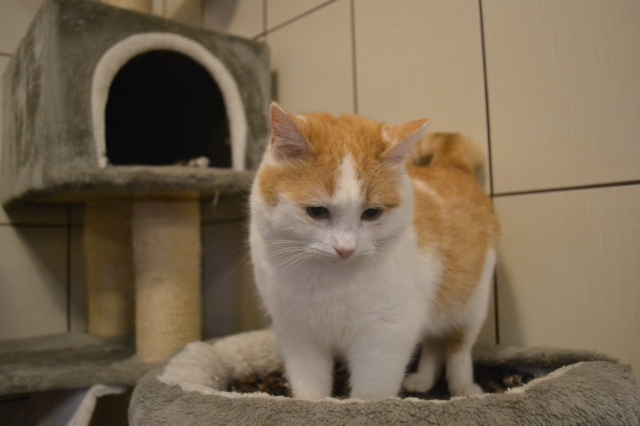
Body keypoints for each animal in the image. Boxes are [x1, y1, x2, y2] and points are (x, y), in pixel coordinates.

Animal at [249, 102, 499, 400]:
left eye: (371, 213)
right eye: (317, 211)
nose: (345, 249)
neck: (329, 282)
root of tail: (451, 167)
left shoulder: (384, 336)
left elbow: (371, 392)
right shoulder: (299, 334)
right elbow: (310, 388)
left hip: (471, 304)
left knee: (457, 347)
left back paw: (463, 387)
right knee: (432, 344)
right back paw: (423, 380)